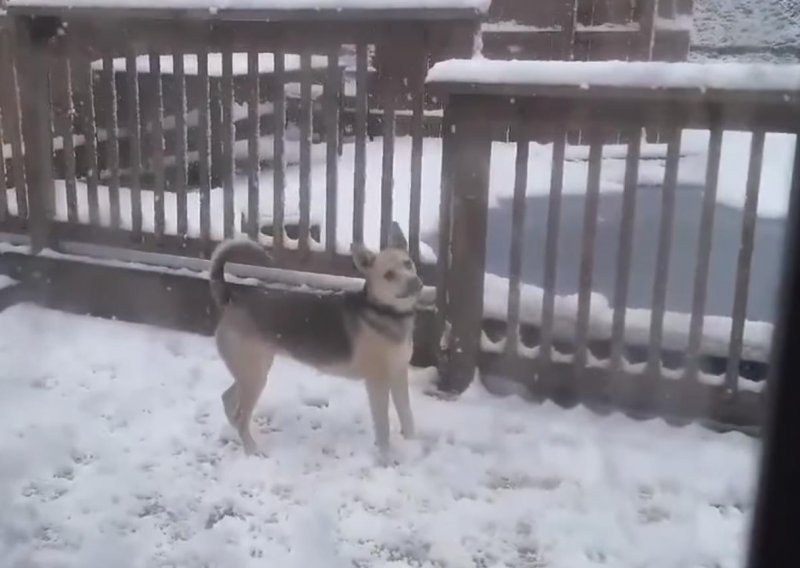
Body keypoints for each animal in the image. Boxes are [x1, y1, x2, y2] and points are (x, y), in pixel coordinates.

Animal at [211, 223, 424, 458]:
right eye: (389, 275)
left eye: (408, 263)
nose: (414, 283)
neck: (384, 312)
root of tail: (232, 299)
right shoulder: (377, 383)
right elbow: (383, 426)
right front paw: (386, 458)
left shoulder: (399, 375)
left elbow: (407, 415)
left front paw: (413, 444)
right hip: (254, 374)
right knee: (240, 414)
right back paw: (251, 450)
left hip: (253, 371)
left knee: (228, 399)